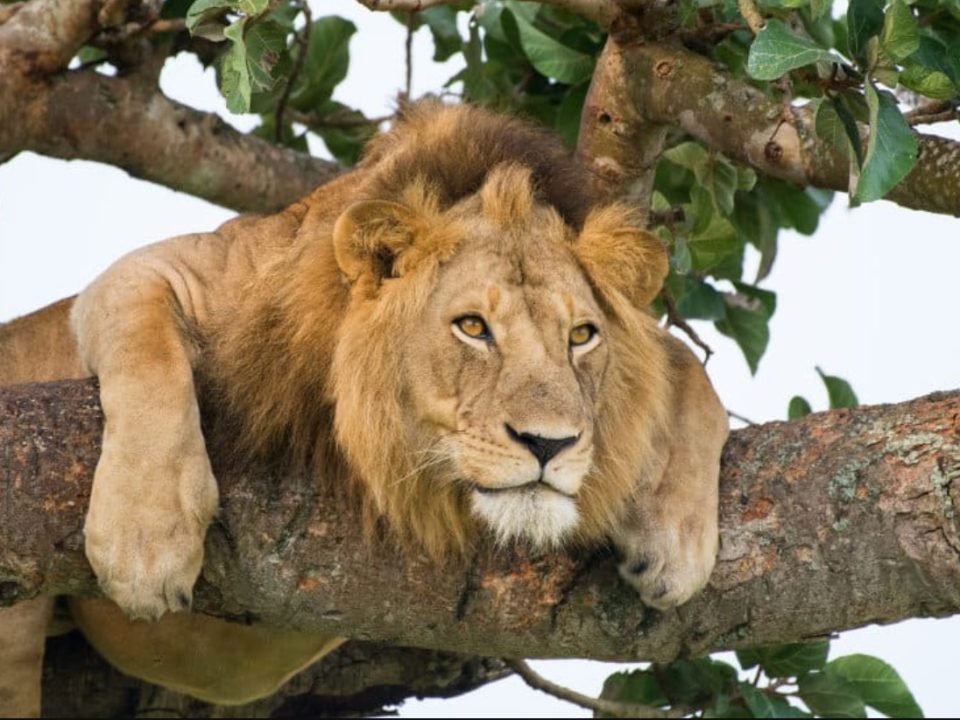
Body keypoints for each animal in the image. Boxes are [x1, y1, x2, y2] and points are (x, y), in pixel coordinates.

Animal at [0, 102, 728, 716]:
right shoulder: (158, 273)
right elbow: (146, 347)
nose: (548, 444)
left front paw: (675, 540)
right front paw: (145, 542)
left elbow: (686, 367)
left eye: (581, 336)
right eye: (472, 327)